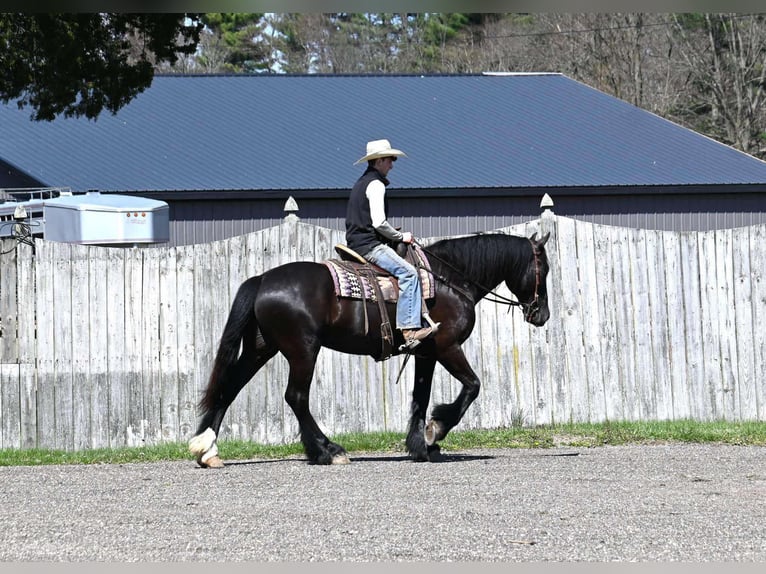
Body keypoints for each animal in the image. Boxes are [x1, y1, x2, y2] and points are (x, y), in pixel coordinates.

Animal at [188, 231, 551, 467]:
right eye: (543, 269)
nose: (541, 314)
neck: (448, 280)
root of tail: (262, 279)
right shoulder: (448, 347)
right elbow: (472, 386)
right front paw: (436, 430)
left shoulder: (425, 353)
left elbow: (420, 398)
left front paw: (421, 447)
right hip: (303, 350)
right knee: (296, 397)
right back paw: (328, 451)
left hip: (261, 349)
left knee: (230, 387)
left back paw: (207, 450)